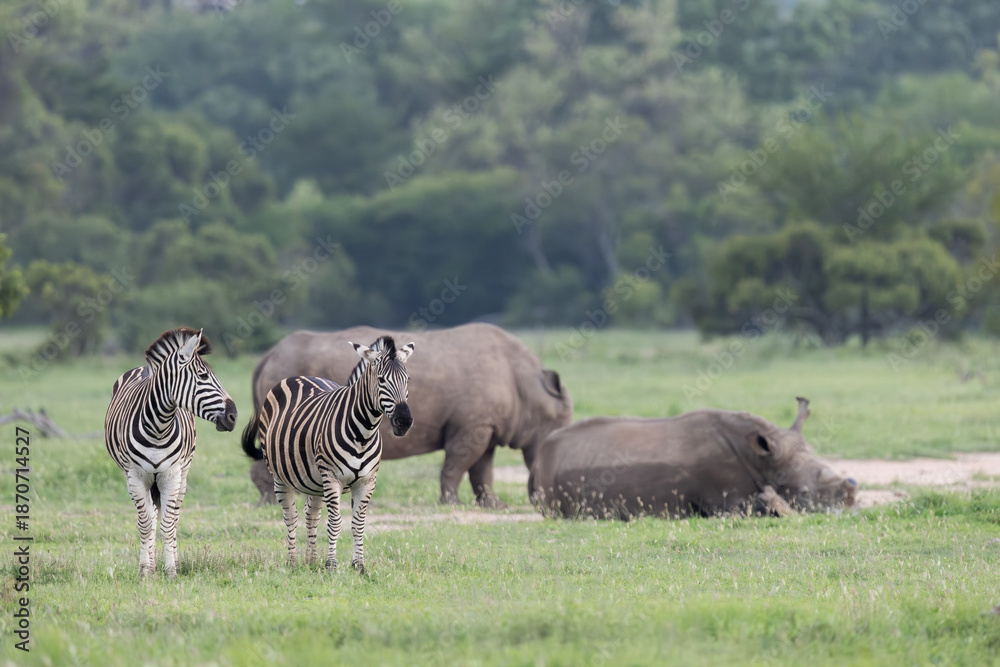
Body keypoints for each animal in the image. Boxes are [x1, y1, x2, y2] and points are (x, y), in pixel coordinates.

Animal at [104, 327, 238, 577]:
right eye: (203, 376)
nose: (234, 416)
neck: (158, 426)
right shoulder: (135, 477)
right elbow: (145, 525)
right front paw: (145, 571)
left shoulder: (172, 475)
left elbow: (168, 525)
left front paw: (171, 571)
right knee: (149, 517)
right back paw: (150, 565)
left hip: (182, 476)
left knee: (173, 518)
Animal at [241, 335, 414, 573]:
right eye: (381, 380)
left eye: (407, 380)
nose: (404, 422)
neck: (363, 433)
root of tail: (299, 377)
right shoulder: (332, 478)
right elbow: (335, 522)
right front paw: (331, 564)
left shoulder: (367, 481)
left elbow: (358, 523)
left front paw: (359, 565)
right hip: (281, 477)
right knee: (291, 517)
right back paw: (292, 562)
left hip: (314, 482)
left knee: (311, 516)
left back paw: (311, 561)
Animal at [248, 323, 573, 508]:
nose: (543, 495)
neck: (530, 389)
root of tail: (266, 356)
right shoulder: (473, 426)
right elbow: (459, 463)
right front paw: (451, 503)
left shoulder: (485, 424)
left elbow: (482, 469)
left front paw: (494, 506)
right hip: (287, 369)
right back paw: (271, 502)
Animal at [529, 397, 857, 519]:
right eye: (805, 494)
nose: (850, 501)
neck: (763, 459)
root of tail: (537, 462)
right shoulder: (726, 500)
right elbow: (757, 505)